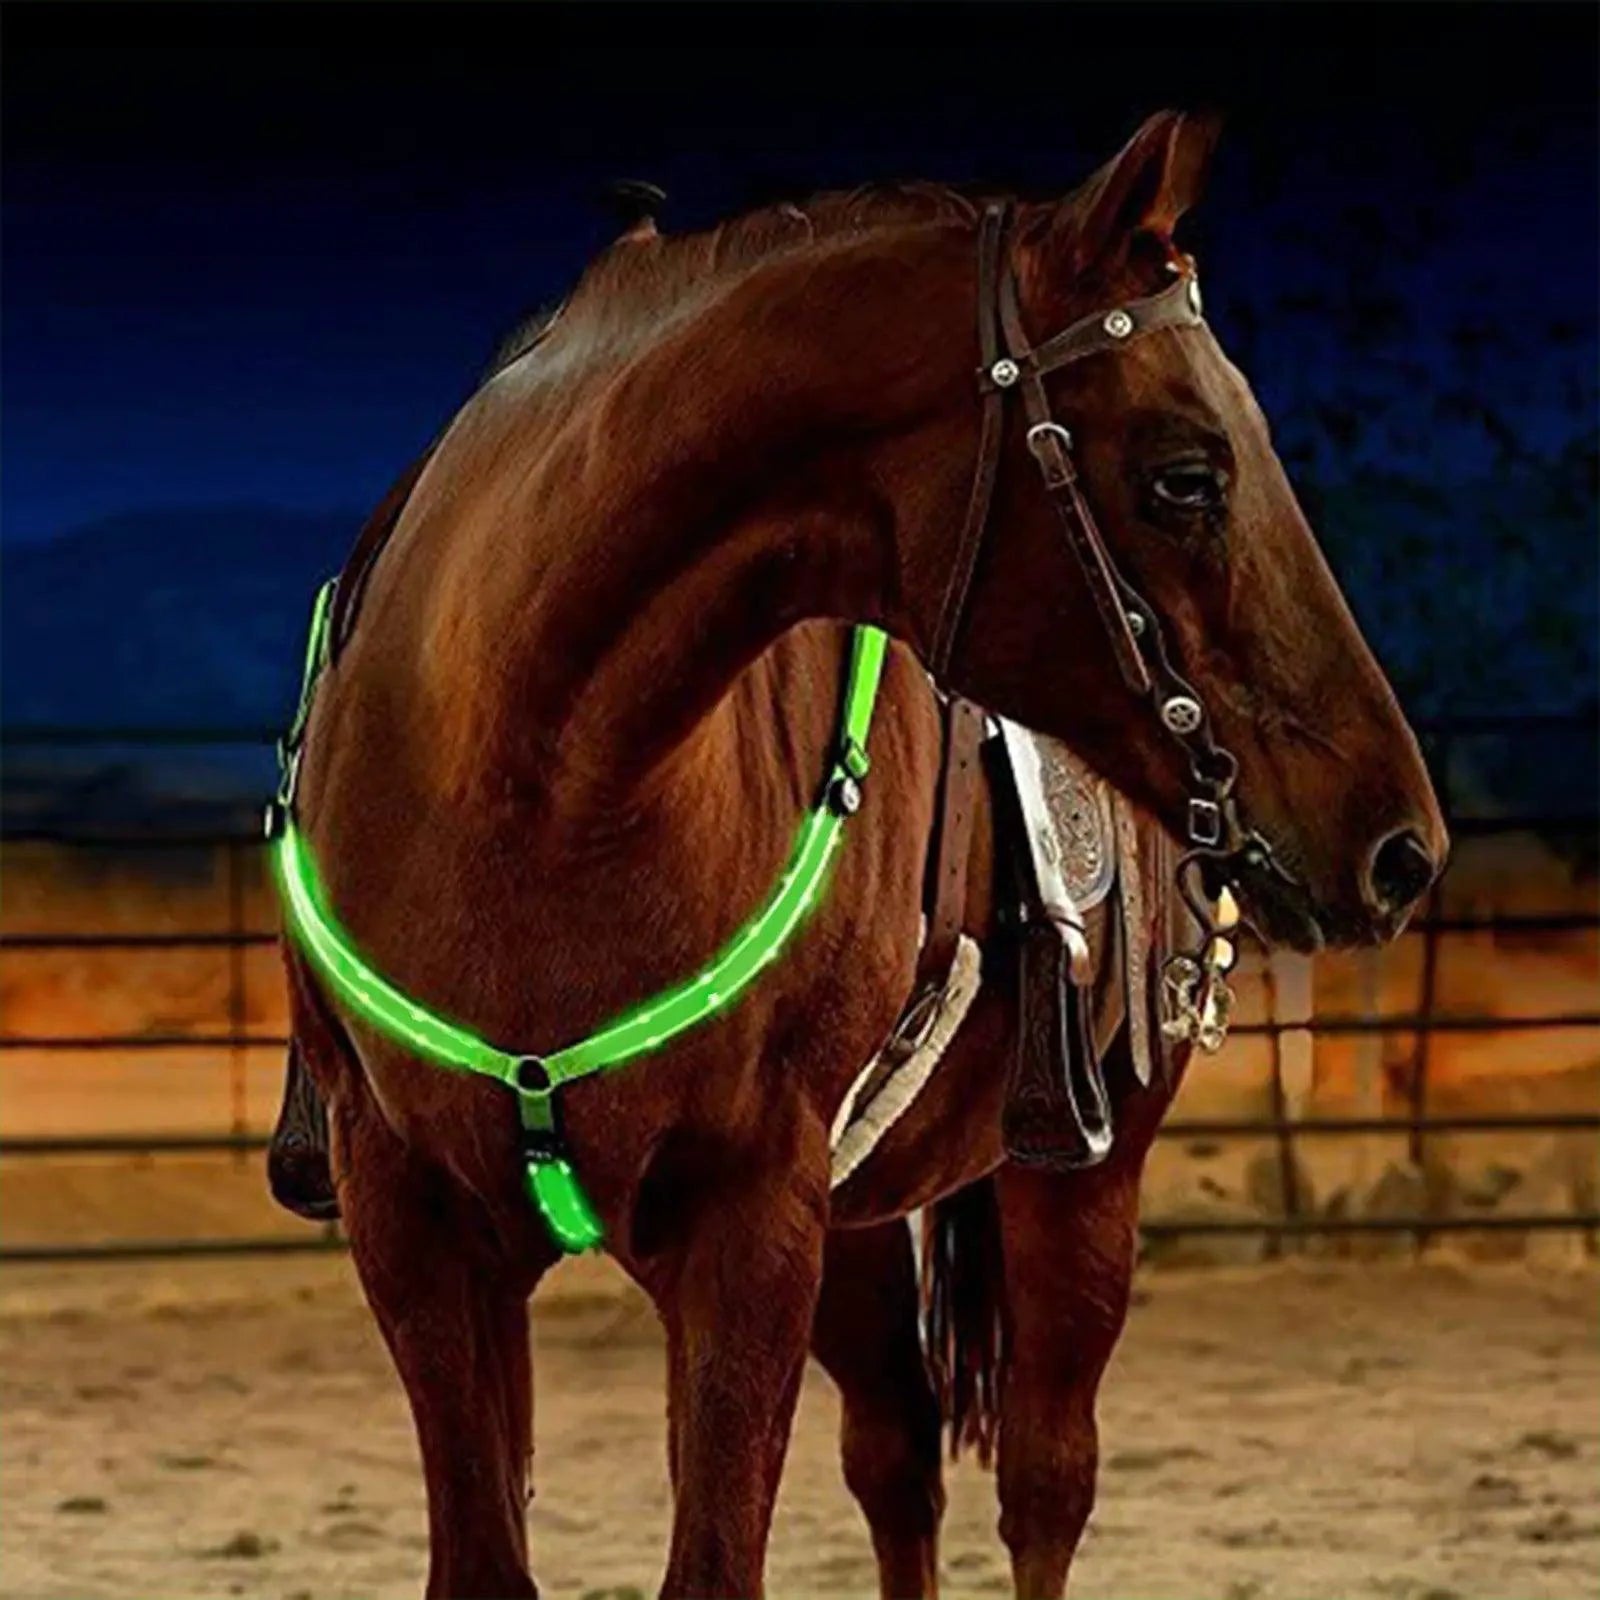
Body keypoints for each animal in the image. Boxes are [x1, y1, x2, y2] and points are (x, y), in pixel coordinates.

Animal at [276, 110, 1446, 1597]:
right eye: (1187, 475)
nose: (1400, 846)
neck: (528, 784)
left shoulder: (749, 1224)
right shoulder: (417, 1225)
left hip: (1078, 1177)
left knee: (1045, 1481)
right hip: (857, 1227)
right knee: (897, 1458)